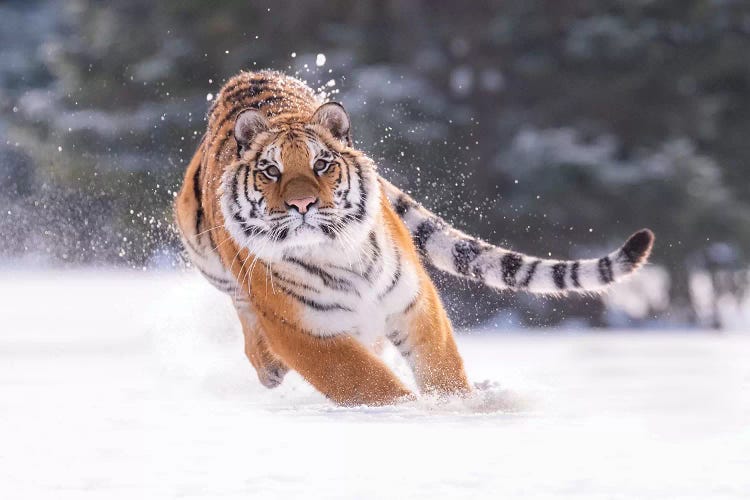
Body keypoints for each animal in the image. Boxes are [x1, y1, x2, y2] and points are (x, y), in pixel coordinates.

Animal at [173, 69, 656, 406]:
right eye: (271, 170)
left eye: (321, 164)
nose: (302, 205)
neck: (335, 253)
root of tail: (244, 77)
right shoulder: (305, 331)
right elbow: (369, 383)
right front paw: (414, 414)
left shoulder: (412, 298)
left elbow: (441, 367)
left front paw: (460, 406)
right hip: (211, 261)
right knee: (242, 305)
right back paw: (269, 368)